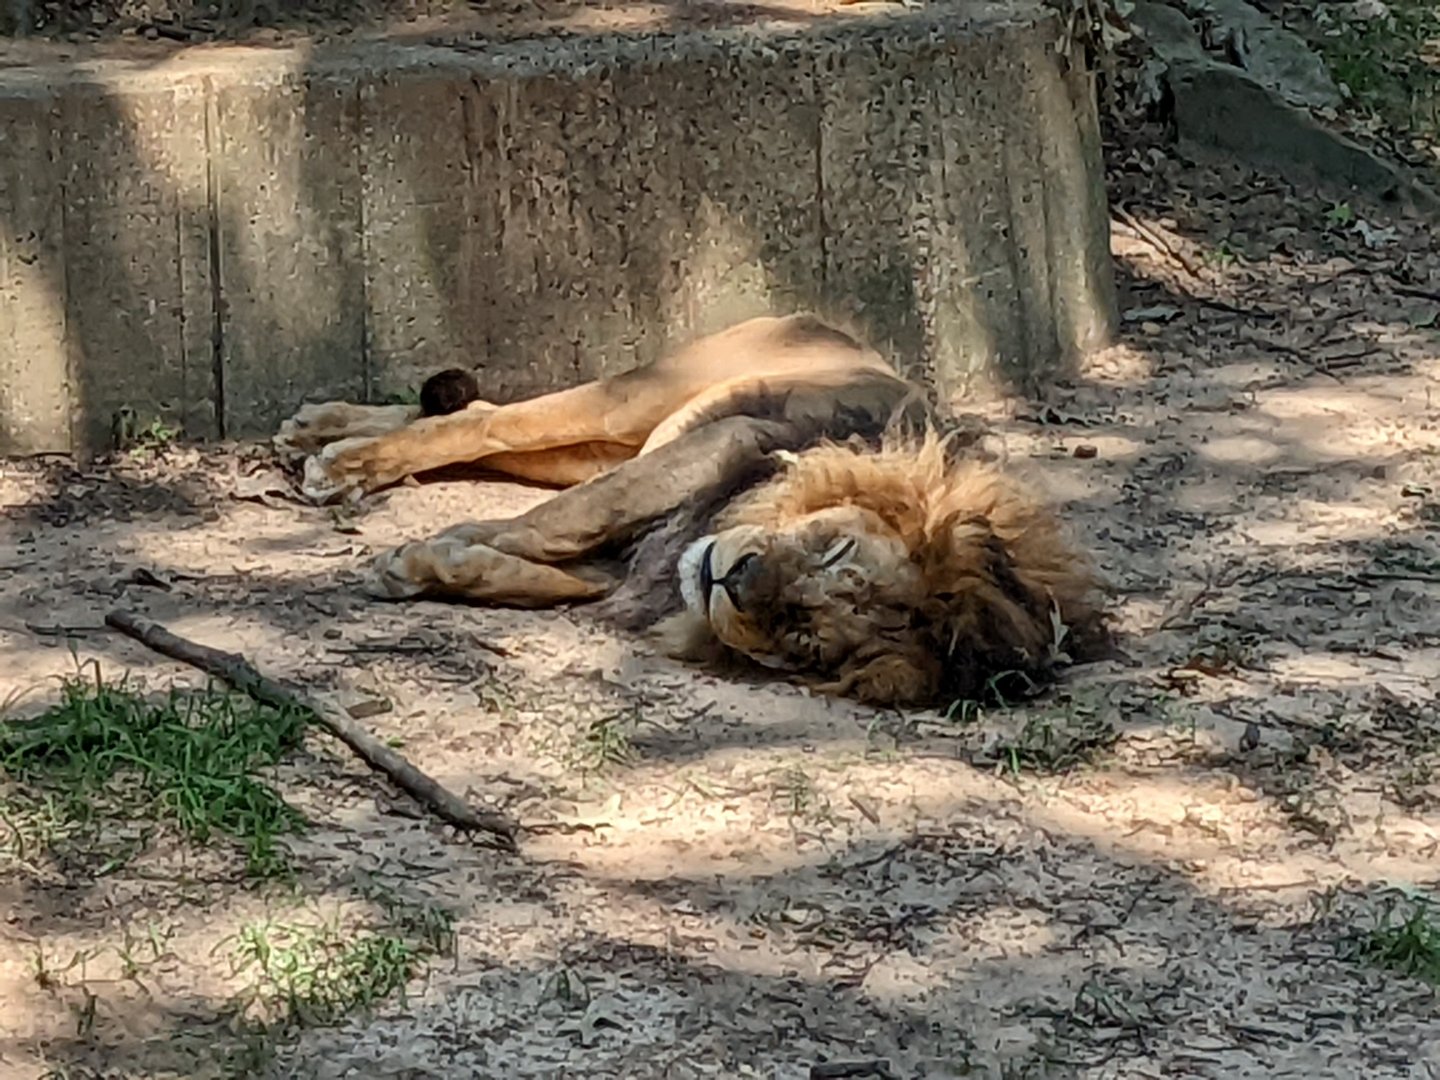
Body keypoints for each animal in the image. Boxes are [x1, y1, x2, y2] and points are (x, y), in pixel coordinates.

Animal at [275, 313, 1111, 707]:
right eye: (832, 547)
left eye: (805, 638)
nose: (733, 580)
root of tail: (834, 328)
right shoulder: (717, 446)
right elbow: (562, 520)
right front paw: (427, 548)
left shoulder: (629, 566)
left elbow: (535, 570)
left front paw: (439, 563)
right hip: (634, 403)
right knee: (483, 422)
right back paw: (335, 456)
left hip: (603, 440)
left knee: (478, 420)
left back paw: (319, 432)